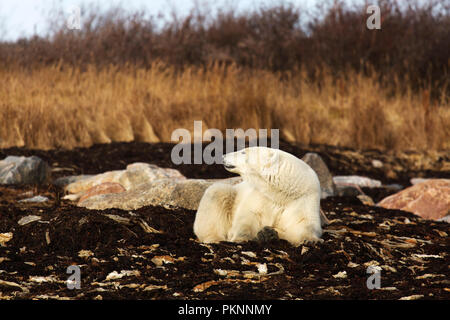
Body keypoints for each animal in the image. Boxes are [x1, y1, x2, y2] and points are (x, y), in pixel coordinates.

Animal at [193, 146, 324, 246]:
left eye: (243, 151)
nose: (223, 156)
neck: (283, 192)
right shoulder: (261, 195)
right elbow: (249, 215)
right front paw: (242, 237)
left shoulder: (303, 200)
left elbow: (302, 224)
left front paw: (311, 240)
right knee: (217, 194)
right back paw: (215, 238)